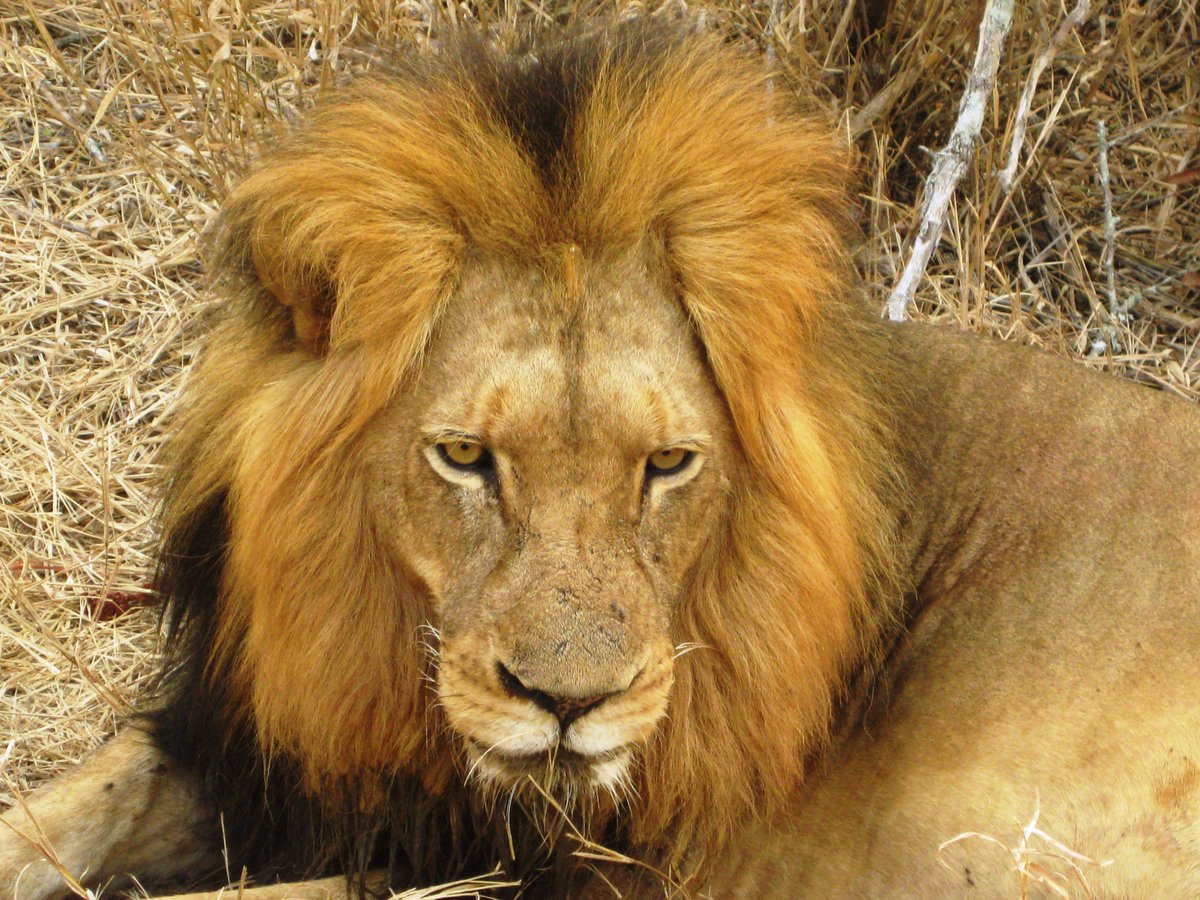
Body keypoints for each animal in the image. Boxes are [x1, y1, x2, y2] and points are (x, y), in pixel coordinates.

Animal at [2, 18, 1198, 900]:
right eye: (465, 456)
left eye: (668, 464)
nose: (568, 705)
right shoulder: (254, 747)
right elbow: (69, 804)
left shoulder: (522, 870)